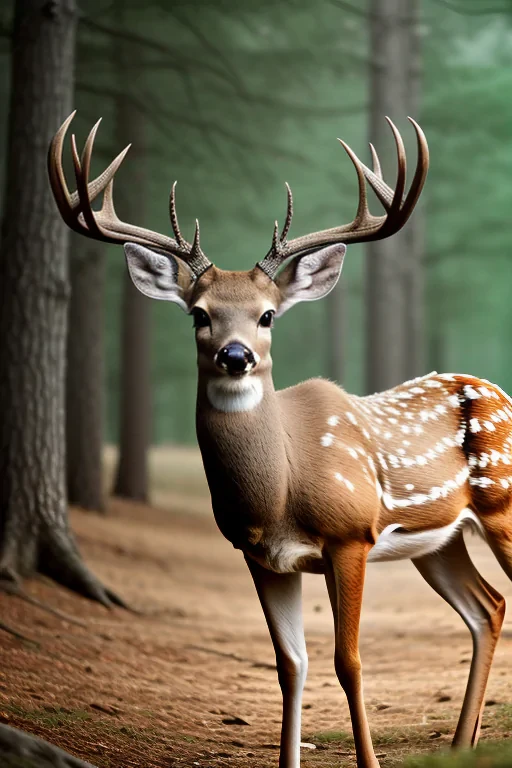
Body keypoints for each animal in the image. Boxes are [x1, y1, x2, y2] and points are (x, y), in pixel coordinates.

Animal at [49, 111, 512, 768]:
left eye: (268, 314)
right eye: (199, 313)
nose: (235, 355)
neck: (280, 491)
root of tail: (499, 390)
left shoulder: (350, 534)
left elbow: (348, 661)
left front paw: (369, 760)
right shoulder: (260, 555)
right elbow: (290, 666)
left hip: (501, 502)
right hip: (439, 541)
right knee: (488, 607)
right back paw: (459, 745)